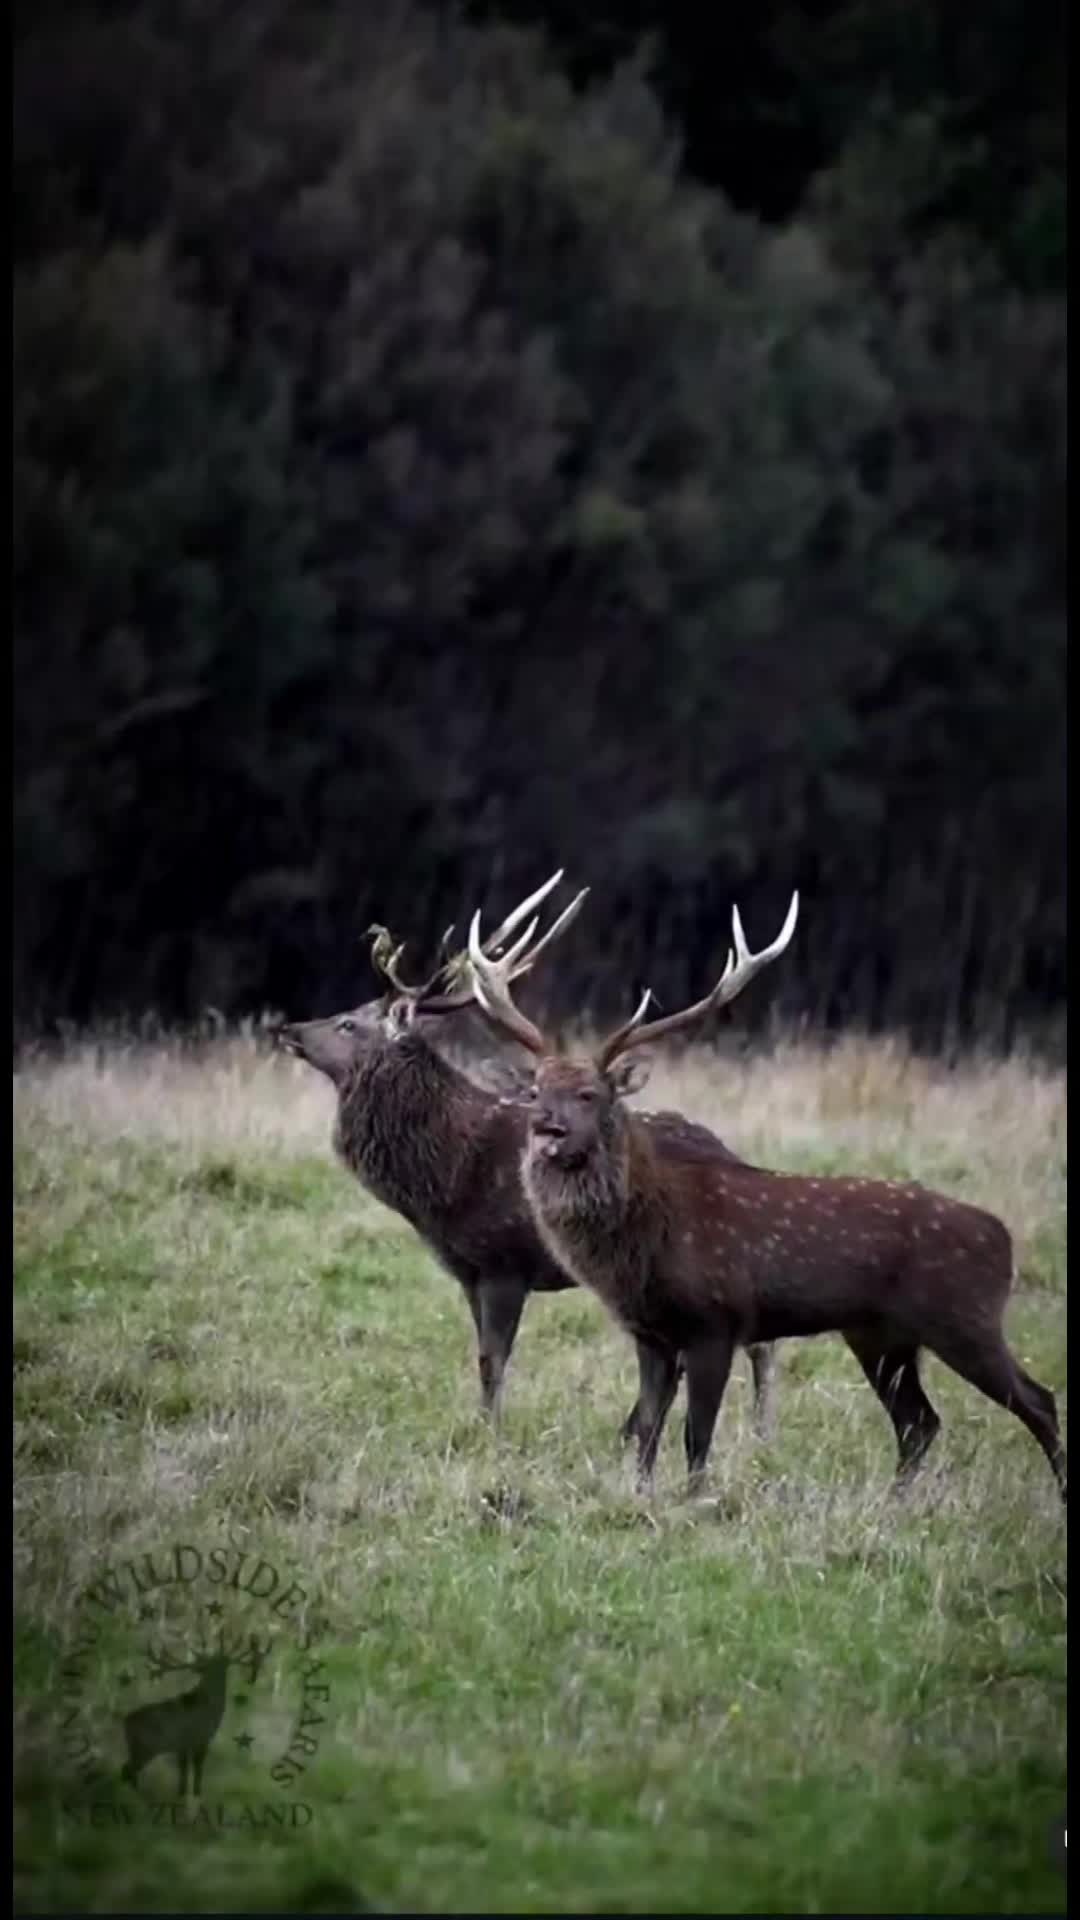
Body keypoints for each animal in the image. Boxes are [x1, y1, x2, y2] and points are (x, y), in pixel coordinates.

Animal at [120, 1628, 267, 1797]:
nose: (197, 1667)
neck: (210, 1706)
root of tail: (125, 1722)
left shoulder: (185, 1745)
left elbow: (185, 1775)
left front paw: (184, 1794)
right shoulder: (199, 1739)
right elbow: (195, 1772)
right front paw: (194, 1794)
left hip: (141, 1749)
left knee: (128, 1771)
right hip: (145, 1747)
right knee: (128, 1771)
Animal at [275, 872, 779, 1443]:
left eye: (348, 1024)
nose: (288, 1029)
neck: (444, 1181)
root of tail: (730, 1150)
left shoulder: (505, 1264)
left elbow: (494, 1360)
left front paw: (490, 1434)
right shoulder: (468, 1271)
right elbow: (482, 1355)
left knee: (758, 1340)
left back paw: (760, 1435)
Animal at [465, 890, 1068, 1505]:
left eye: (589, 1094)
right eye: (535, 1091)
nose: (547, 1130)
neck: (646, 1244)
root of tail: (1004, 1241)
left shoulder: (717, 1321)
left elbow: (696, 1433)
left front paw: (694, 1502)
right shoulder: (650, 1334)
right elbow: (648, 1429)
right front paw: (641, 1495)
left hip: (965, 1318)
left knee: (1037, 1401)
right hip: (880, 1334)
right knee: (919, 1421)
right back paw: (894, 1503)